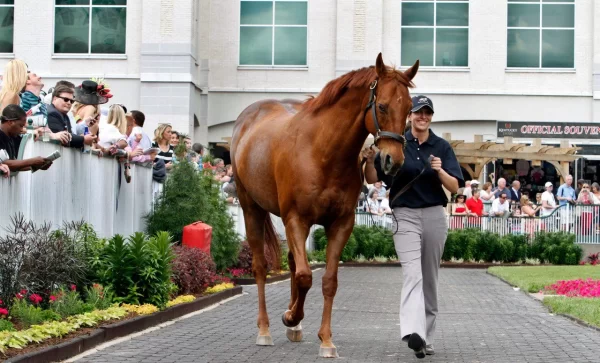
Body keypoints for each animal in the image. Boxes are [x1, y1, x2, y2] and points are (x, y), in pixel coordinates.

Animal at [232, 54, 420, 358]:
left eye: (407, 110)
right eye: (382, 105)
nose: (393, 161)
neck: (322, 152)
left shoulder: (340, 223)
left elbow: (328, 281)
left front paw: (325, 339)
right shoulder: (295, 219)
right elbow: (305, 276)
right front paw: (291, 317)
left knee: (292, 261)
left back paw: (294, 327)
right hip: (251, 208)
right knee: (261, 266)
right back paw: (265, 328)